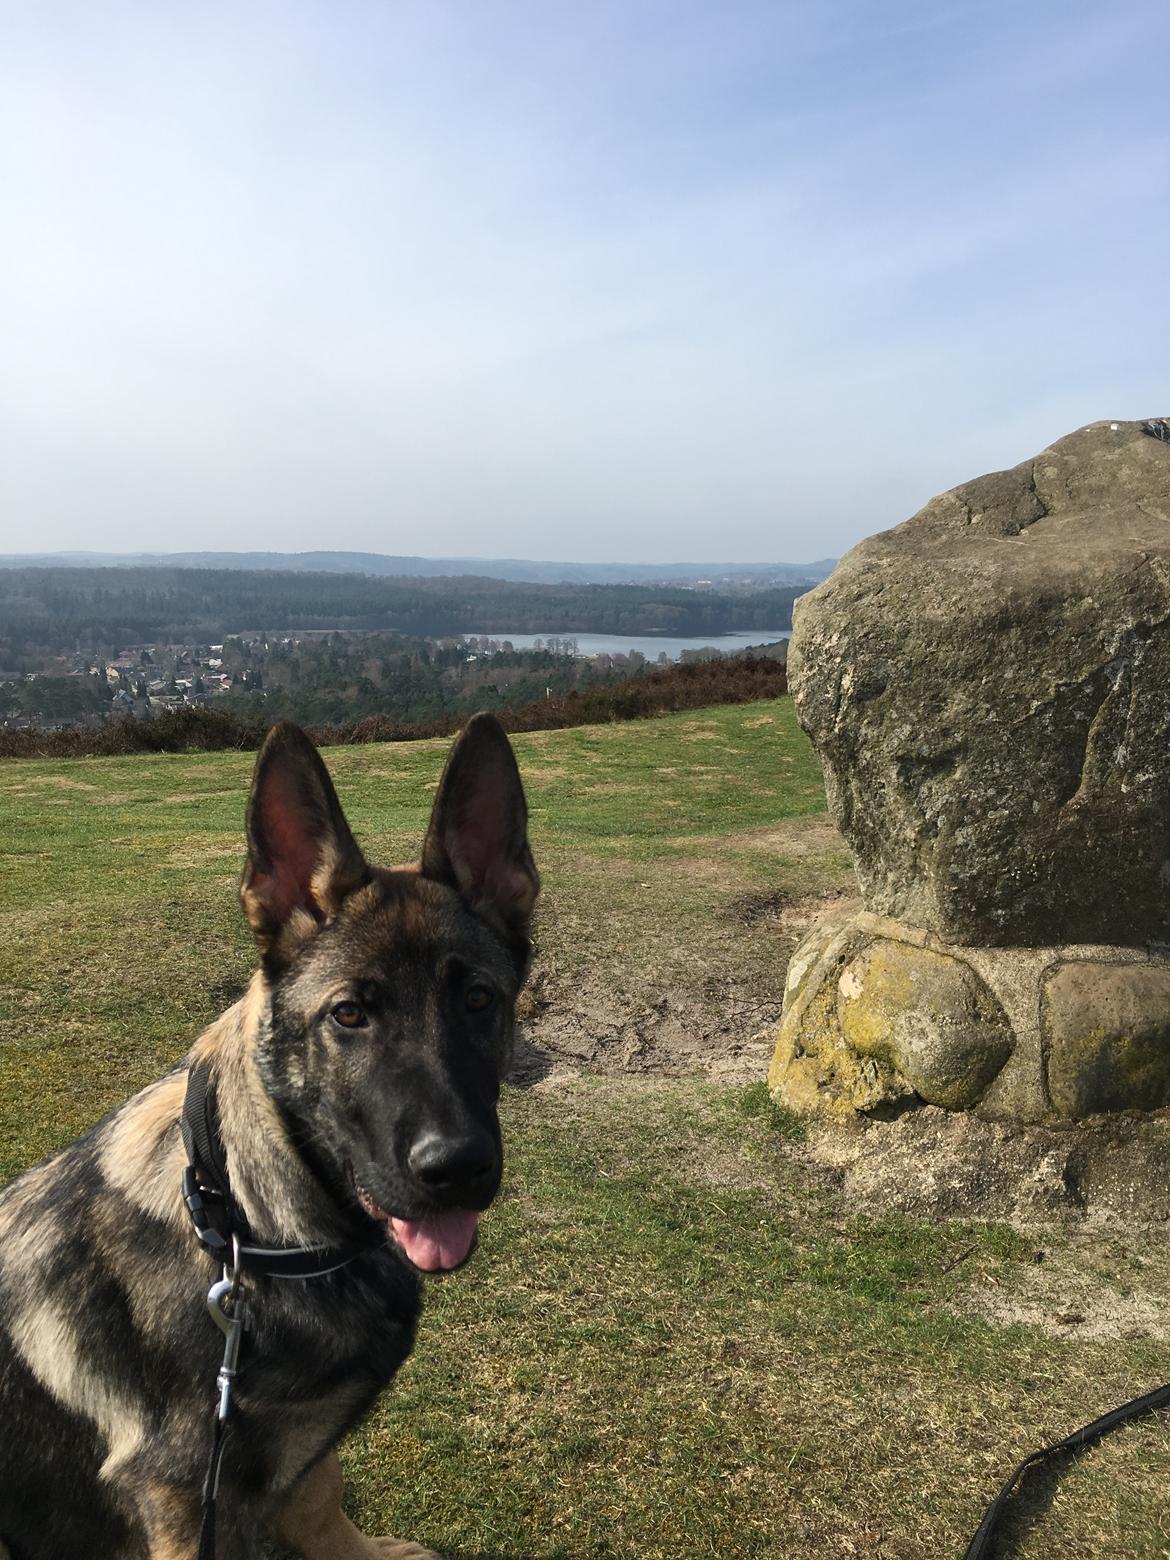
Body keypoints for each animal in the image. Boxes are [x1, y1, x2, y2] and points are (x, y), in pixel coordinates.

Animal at [0, 714, 539, 1553]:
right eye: (348, 1014)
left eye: (480, 1000)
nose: (456, 1167)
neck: (243, 1219)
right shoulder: (180, 1498)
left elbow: (319, 1494)